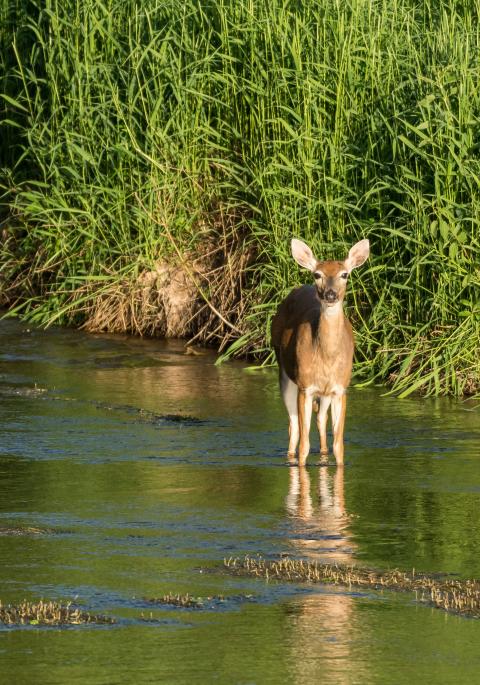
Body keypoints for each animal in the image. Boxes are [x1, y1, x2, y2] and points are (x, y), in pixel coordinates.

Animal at [271, 238, 369, 465]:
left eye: (345, 274)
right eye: (317, 274)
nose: (330, 294)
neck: (327, 358)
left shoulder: (340, 388)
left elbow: (339, 447)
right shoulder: (305, 387)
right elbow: (304, 446)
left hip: (325, 394)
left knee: (321, 421)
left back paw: (323, 454)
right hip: (285, 373)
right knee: (294, 427)